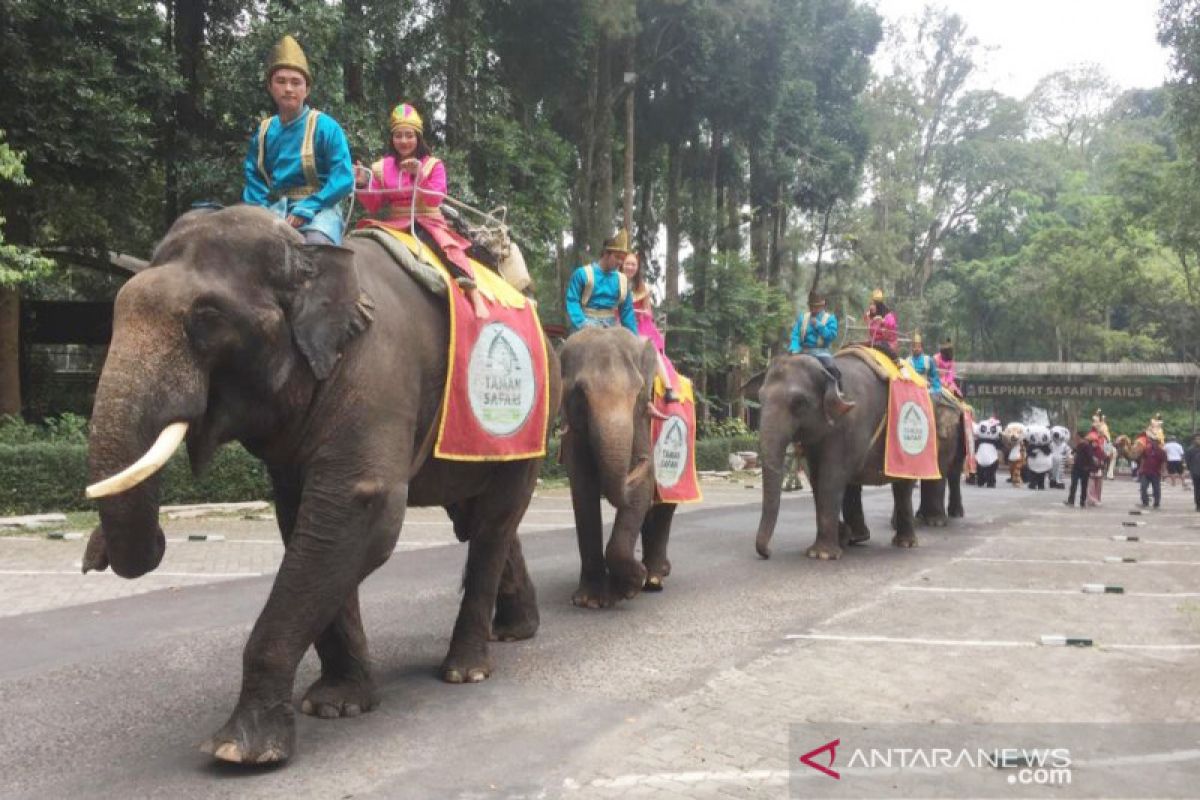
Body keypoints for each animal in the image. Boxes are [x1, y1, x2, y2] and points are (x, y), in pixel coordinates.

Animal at [84, 205, 561, 762]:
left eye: (207, 317)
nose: (96, 552)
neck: (311, 254)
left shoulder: (375, 370)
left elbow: (360, 510)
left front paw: (240, 750)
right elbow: (304, 521)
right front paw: (338, 705)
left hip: (533, 422)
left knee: (493, 521)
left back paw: (466, 671)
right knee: (478, 518)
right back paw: (514, 632)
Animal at [559, 326, 676, 606]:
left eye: (639, 391)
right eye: (580, 392)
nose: (644, 460)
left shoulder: (642, 420)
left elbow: (642, 491)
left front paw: (627, 588)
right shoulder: (574, 431)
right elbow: (583, 491)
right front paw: (589, 600)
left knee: (665, 503)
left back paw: (654, 578)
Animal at [753, 352, 960, 561]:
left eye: (799, 402)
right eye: (760, 398)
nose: (767, 553)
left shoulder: (851, 423)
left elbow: (831, 477)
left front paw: (822, 555)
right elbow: (817, 478)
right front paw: (838, 539)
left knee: (903, 485)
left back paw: (906, 542)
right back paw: (857, 538)